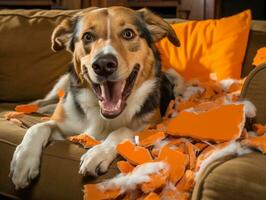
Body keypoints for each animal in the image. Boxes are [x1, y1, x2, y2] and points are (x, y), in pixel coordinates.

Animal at [9, 6, 184, 189]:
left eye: (128, 34)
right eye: (87, 36)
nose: (103, 65)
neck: (104, 117)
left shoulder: (151, 127)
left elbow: (122, 130)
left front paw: (98, 153)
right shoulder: (65, 125)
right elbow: (39, 127)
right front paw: (23, 161)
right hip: (61, 85)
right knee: (44, 103)